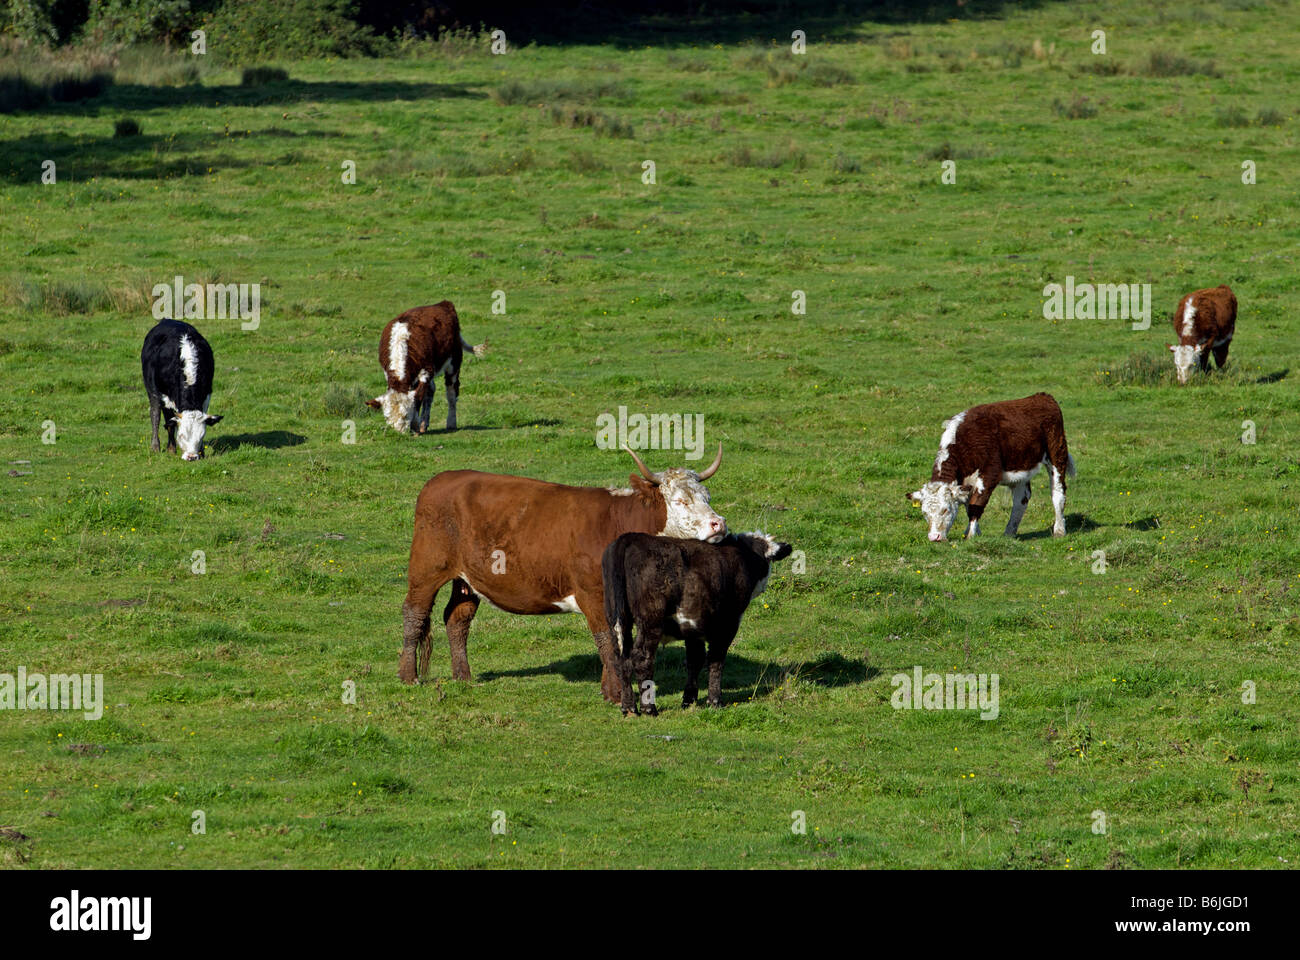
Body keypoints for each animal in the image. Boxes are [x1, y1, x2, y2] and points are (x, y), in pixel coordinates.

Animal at [141, 317, 222, 460]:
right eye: (182, 435)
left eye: (201, 435)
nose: (192, 457)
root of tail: (167, 320)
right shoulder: (165, 397)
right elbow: (169, 425)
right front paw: (171, 449)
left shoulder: (207, 394)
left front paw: (202, 452)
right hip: (152, 389)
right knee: (155, 415)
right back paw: (155, 447)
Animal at [366, 300, 488, 431]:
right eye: (387, 417)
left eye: (405, 415)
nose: (399, 433)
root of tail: (443, 303)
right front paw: (418, 424)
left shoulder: (427, 371)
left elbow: (418, 398)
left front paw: (415, 423)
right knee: (431, 391)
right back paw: (424, 424)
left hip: (454, 361)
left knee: (451, 392)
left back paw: (451, 423)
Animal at [400, 444, 728, 697]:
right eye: (680, 501)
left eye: (707, 497)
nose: (719, 524)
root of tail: (443, 478)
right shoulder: (593, 595)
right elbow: (608, 640)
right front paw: (616, 693)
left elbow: (621, 640)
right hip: (427, 568)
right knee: (414, 613)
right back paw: (408, 677)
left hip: (466, 579)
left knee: (457, 619)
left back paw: (463, 677)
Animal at [600, 530, 790, 712]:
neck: (742, 557)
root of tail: (629, 538)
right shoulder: (727, 624)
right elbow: (715, 660)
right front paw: (714, 701)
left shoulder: (693, 628)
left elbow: (694, 660)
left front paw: (689, 699)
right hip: (651, 620)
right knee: (641, 657)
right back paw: (649, 708)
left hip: (616, 617)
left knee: (621, 659)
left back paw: (628, 706)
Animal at [904, 390, 1076, 538]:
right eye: (924, 513)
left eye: (945, 510)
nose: (934, 537)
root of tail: (1042, 397)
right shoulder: (967, 483)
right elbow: (969, 505)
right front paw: (973, 532)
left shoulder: (989, 475)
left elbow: (976, 505)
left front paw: (970, 535)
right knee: (1021, 499)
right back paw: (1009, 533)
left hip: (1057, 454)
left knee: (1058, 493)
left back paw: (1059, 530)